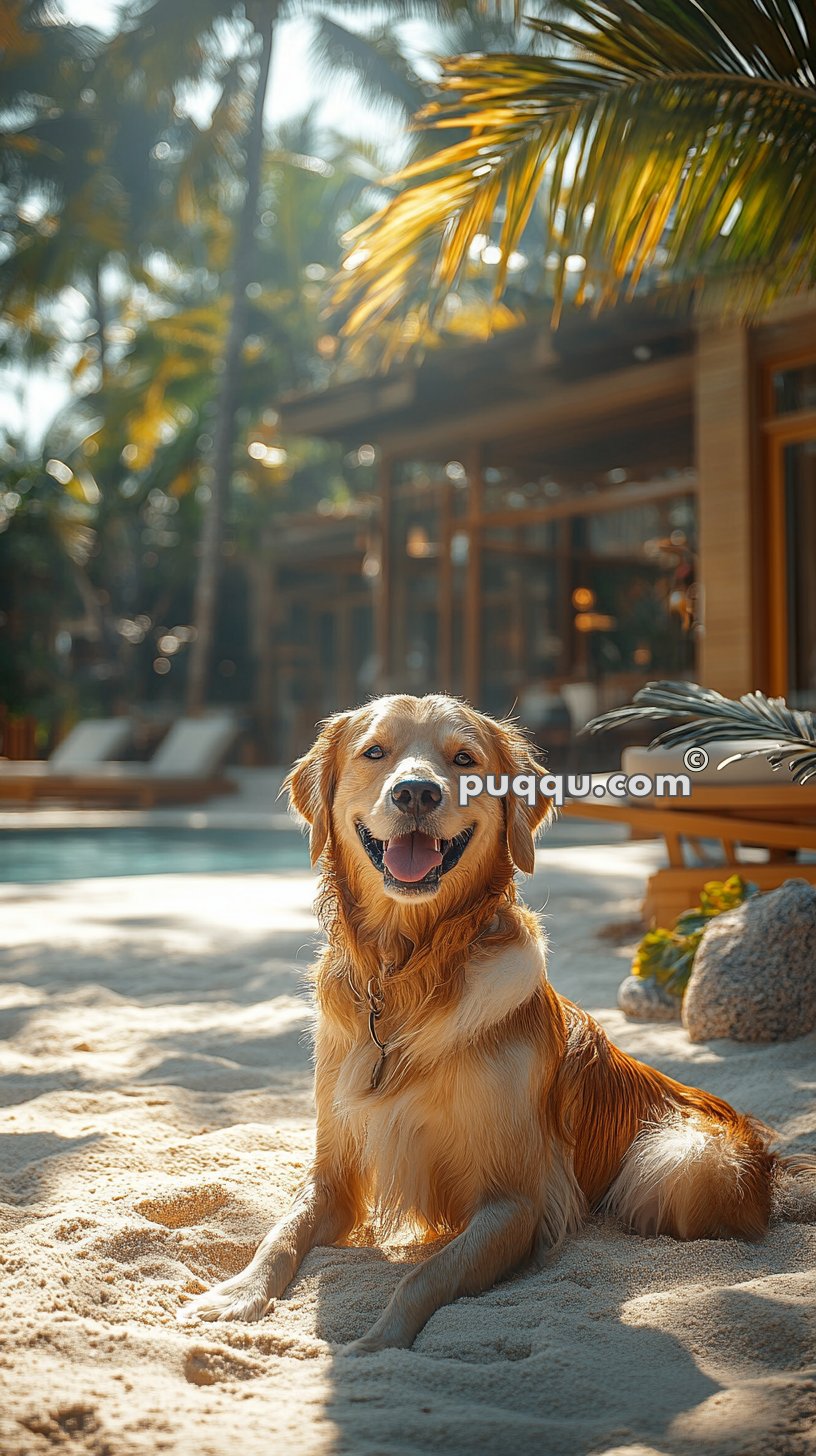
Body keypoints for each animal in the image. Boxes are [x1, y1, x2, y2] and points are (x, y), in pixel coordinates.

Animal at [179, 693, 816, 1351]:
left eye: (464, 759)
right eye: (374, 751)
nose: (415, 793)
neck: (410, 972)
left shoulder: (514, 1204)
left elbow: (425, 1275)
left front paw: (376, 1344)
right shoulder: (333, 1170)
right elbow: (280, 1231)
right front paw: (235, 1294)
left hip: (684, 1161)